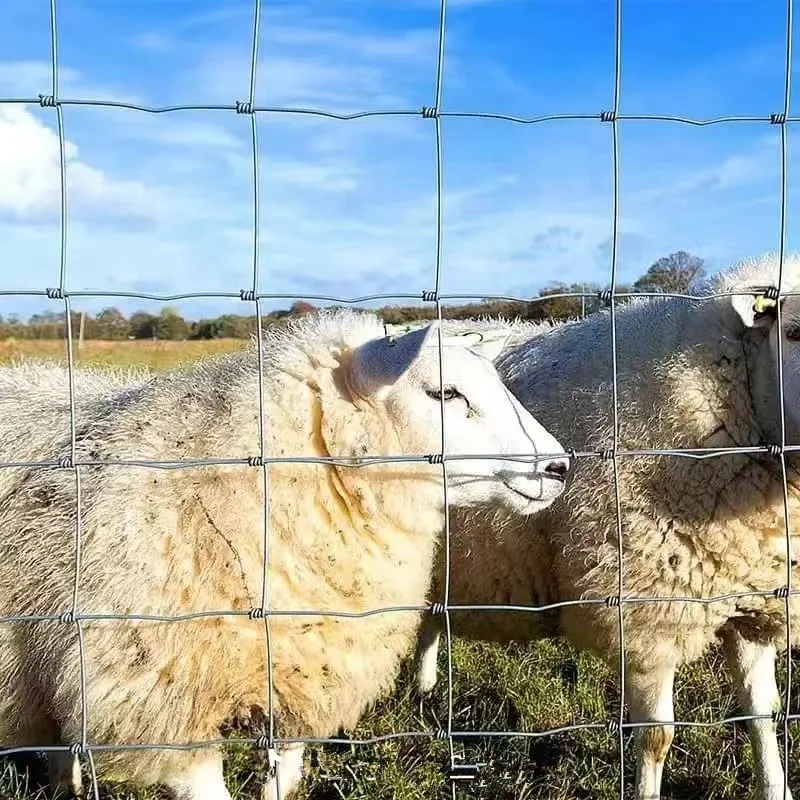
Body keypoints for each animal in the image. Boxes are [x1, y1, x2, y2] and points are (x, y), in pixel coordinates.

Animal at [412, 253, 800, 800]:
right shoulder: (644, 612)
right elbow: (656, 737)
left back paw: (424, 690)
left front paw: (776, 787)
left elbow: (764, 717)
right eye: (793, 332)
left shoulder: (752, 600)